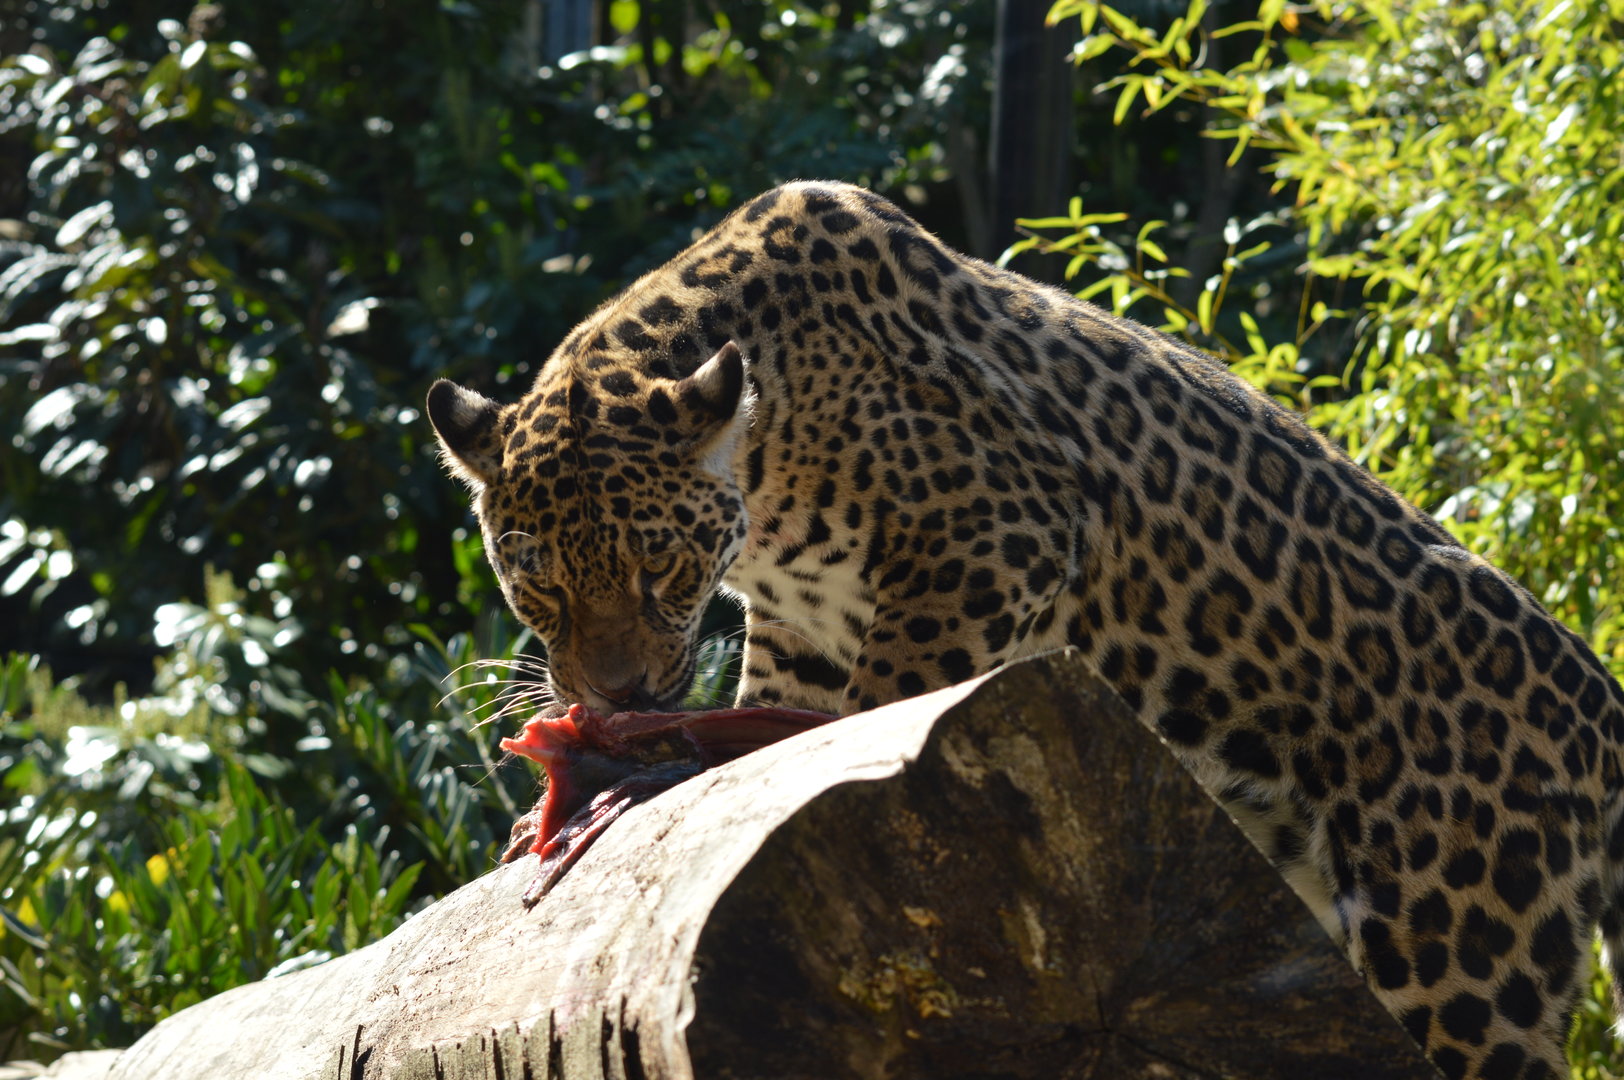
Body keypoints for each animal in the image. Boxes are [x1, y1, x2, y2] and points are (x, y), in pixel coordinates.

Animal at [428, 180, 1624, 1080]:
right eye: (539, 589)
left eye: (661, 569)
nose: (618, 696)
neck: (770, 462)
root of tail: (1597, 703)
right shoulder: (800, 627)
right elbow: (775, 723)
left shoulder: (999, 530)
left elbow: (887, 704)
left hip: (1463, 953)